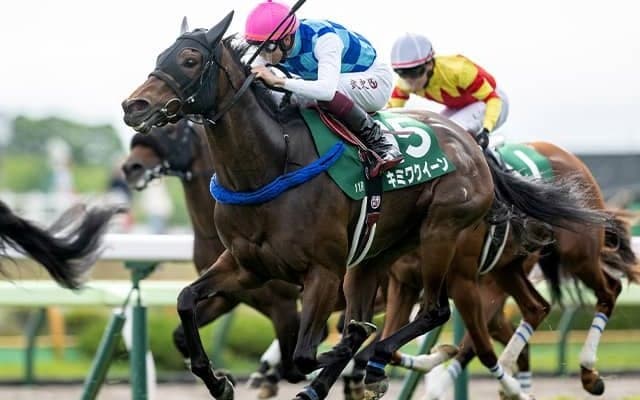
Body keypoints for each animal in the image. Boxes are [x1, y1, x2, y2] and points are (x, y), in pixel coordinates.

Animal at [121, 13, 608, 400]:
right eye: (161, 55)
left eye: (189, 59)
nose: (133, 105)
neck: (271, 164)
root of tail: (470, 145)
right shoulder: (245, 269)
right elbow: (186, 305)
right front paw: (221, 381)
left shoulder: (317, 276)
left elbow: (302, 354)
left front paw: (342, 357)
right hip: (382, 258)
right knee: (516, 314)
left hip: (448, 239)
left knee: (442, 314)